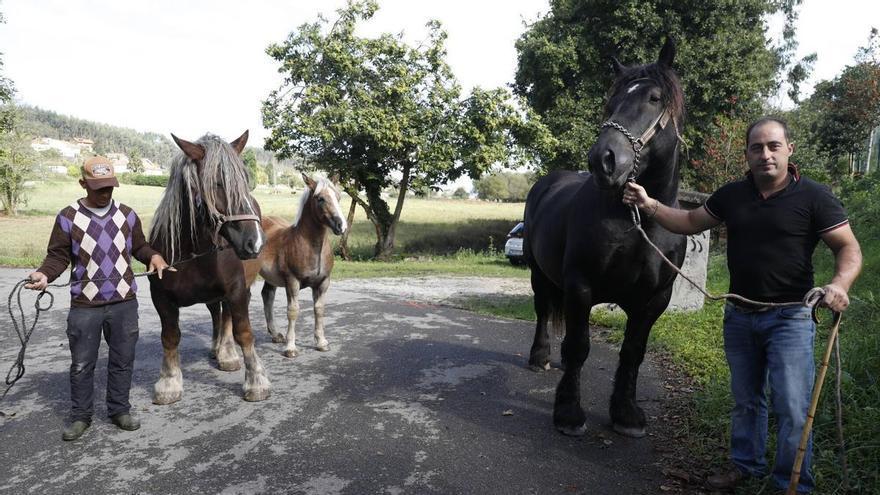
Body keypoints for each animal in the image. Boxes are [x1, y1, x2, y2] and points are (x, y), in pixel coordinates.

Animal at [149, 131, 271, 404]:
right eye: (217, 183)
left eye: (245, 180)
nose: (255, 242)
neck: (192, 252)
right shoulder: (161, 298)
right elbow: (170, 337)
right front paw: (169, 382)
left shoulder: (236, 290)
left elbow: (243, 332)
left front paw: (256, 380)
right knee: (217, 314)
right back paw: (218, 348)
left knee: (225, 318)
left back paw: (227, 353)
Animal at [244, 174, 347, 358]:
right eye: (320, 199)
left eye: (338, 196)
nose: (341, 226)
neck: (312, 247)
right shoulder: (292, 281)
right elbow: (293, 311)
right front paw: (290, 347)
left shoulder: (323, 282)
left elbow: (319, 310)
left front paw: (321, 342)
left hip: (271, 278)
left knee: (267, 296)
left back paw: (275, 334)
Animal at [523, 38, 686, 438]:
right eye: (611, 103)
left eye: (654, 98)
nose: (604, 160)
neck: (637, 221)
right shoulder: (580, 285)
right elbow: (579, 347)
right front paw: (568, 413)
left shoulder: (654, 300)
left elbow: (633, 352)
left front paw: (625, 413)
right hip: (538, 273)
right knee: (543, 311)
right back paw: (540, 357)